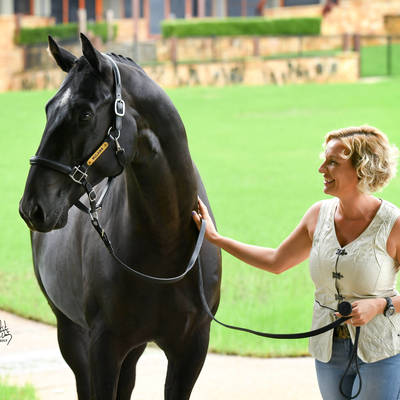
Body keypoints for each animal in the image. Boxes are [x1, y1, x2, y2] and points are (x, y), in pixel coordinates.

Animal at [19, 34, 221, 400]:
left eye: (84, 113)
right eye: (48, 108)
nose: (33, 207)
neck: (165, 244)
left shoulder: (191, 348)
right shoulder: (104, 347)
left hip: (134, 349)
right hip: (70, 332)